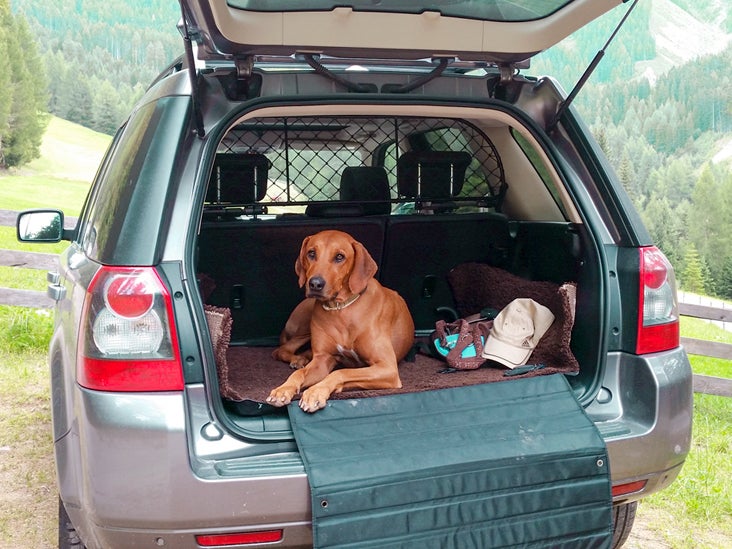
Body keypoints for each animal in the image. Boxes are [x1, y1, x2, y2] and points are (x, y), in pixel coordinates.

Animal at [270, 227, 418, 412]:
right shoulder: (322, 359)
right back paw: (297, 360)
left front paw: (315, 392)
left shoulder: (387, 368)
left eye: (339, 257)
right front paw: (284, 388)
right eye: (311, 253)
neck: (340, 309)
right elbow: (299, 373)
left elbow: (341, 372)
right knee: (281, 350)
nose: (315, 284)